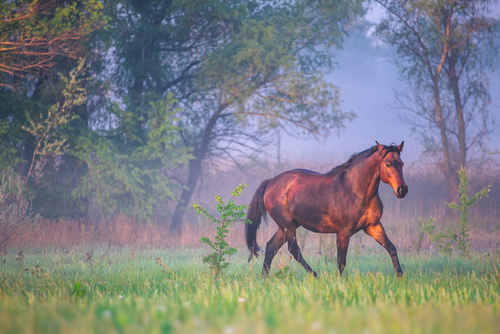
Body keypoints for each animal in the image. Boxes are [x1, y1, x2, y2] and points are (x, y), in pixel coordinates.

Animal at [244, 141, 408, 276]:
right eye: (387, 164)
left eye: (401, 163)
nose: (402, 190)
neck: (355, 190)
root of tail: (271, 181)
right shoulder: (343, 232)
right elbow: (341, 262)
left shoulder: (372, 226)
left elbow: (391, 248)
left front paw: (400, 276)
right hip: (288, 226)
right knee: (294, 250)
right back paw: (314, 275)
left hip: (286, 226)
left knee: (271, 247)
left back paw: (264, 277)